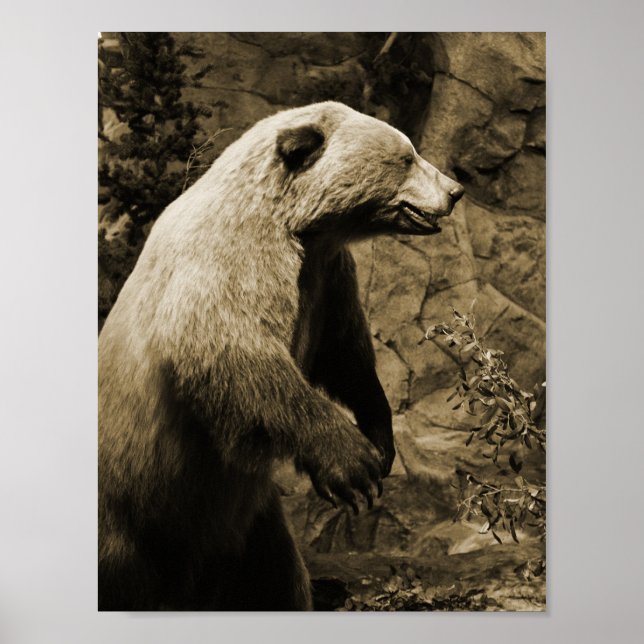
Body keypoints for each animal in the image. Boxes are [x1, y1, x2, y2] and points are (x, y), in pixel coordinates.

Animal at [98, 101, 464, 611]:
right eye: (407, 156)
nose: (455, 190)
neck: (301, 227)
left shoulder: (327, 277)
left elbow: (345, 354)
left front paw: (380, 438)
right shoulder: (230, 258)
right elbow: (235, 350)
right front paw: (353, 465)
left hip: (247, 525)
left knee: (272, 578)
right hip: (131, 513)